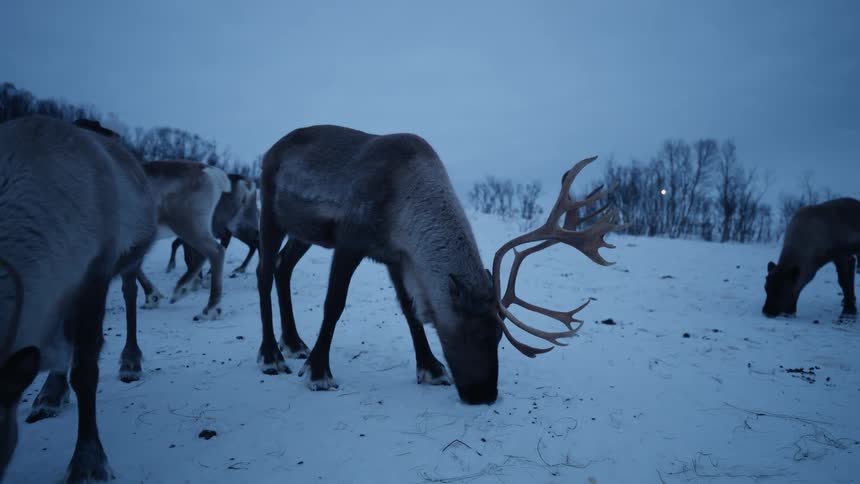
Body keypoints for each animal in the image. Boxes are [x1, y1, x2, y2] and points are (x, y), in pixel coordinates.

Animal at [0, 116, 157, 482]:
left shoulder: (94, 273)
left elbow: (86, 370)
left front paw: (89, 460)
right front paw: (50, 393)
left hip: (128, 259)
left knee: (129, 294)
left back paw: (131, 360)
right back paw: (52, 390)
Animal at [256, 125, 622, 405]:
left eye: (499, 336)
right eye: (475, 332)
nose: (484, 395)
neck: (403, 201)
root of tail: (271, 149)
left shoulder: (395, 256)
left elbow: (411, 310)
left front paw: (431, 369)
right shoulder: (350, 239)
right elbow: (334, 304)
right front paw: (318, 372)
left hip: (303, 231)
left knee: (282, 267)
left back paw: (294, 343)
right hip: (271, 212)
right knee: (263, 271)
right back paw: (271, 355)